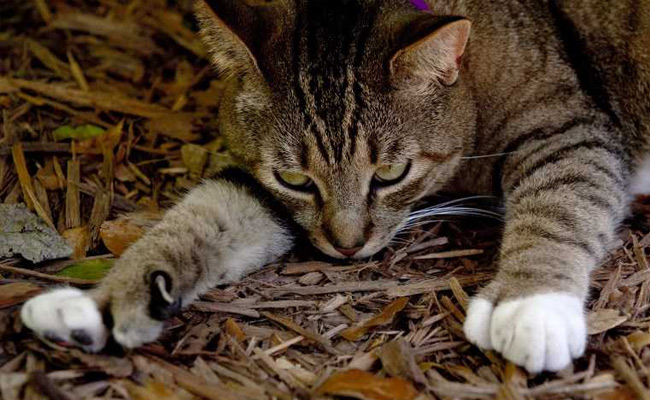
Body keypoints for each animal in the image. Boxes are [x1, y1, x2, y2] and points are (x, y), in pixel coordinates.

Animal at [17, 0, 644, 374]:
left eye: (390, 174)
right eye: (295, 179)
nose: (346, 247)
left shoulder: (568, 128)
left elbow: (561, 202)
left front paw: (531, 304)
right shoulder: (262, 189)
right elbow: (203, 216)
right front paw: (101, 302)